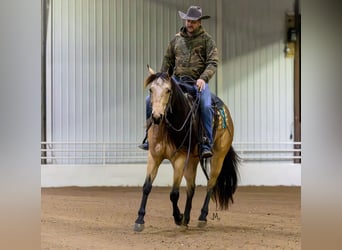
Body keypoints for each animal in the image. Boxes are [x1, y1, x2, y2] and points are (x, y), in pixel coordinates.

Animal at [132, 65, 239, 231]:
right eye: (151, 89)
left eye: (168, 90)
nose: (156, 117)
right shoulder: (154, 156)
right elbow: (147, 186)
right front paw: (139, 219)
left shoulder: (180, 158)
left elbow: (174, 193)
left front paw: (177, 217)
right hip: (193, 160)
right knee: (191, 188)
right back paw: (187, 218)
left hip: (218, 156)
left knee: (210, 184)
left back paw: (201, 217)